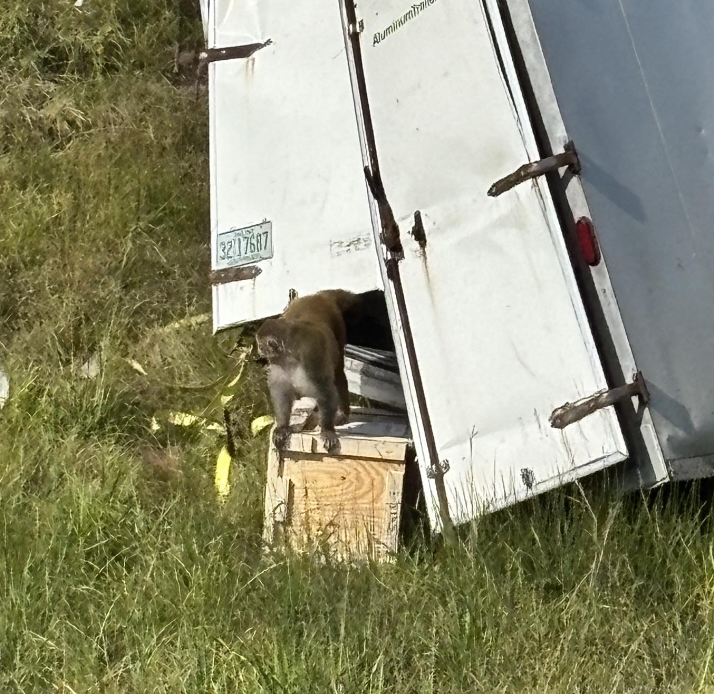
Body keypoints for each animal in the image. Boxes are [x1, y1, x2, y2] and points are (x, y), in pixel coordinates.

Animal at [255, 290, 358, 454]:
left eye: (260, 345)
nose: (259, 350)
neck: (289, 356)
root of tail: (318, 296)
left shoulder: (311, 355)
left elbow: (325, 390)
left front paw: (327, 430)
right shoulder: (278, 364)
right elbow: (281, 393)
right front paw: (282, 427)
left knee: (337, 373)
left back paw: (342, 413)